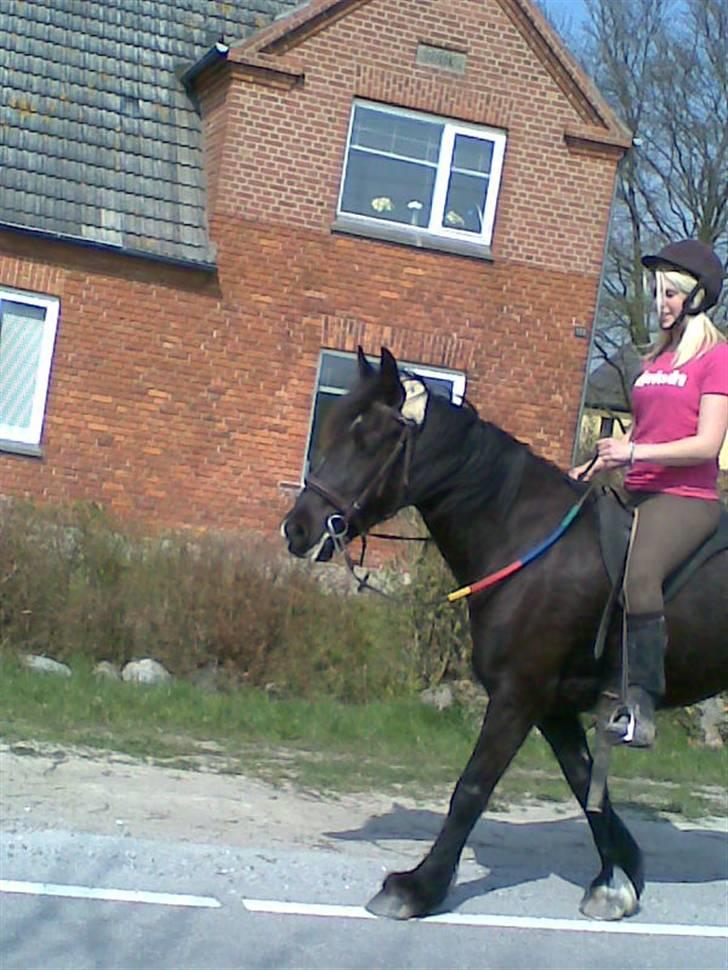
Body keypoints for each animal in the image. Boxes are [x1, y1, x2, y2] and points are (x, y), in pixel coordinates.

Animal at [281, 347, 727, 922]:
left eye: (369, 439)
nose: (298, 529)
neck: (527, 539)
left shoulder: (518, 695)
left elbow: (472, 787)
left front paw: (416, 888)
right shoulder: (552, 705)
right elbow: (585, 782)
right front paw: (618, 877)